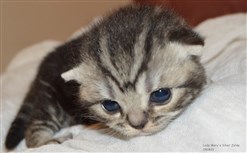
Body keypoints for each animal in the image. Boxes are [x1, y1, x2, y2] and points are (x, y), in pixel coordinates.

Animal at [5, 4, 206, 149]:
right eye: (110, 106)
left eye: (161, 95)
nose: (138, 125)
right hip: (53, 102)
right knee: (35, 127)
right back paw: (46, 141)